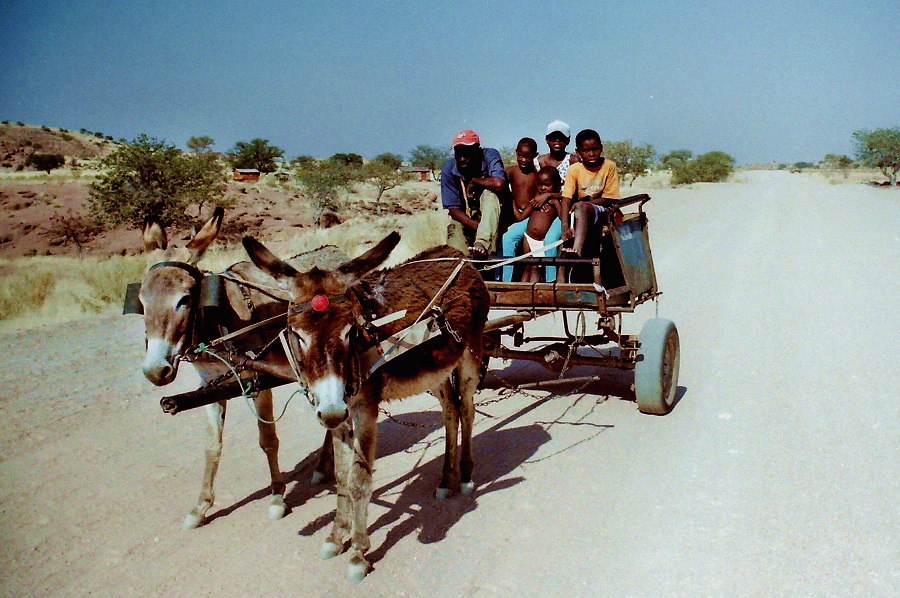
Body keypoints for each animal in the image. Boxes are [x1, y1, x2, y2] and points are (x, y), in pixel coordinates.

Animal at [138, 207, 333, 529]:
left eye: (185, 299)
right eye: (141, 301)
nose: (155, 371)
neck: (216, 320)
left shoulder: (258, 380)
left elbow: (268, 440)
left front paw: (277, 497)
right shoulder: (211, 385)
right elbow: (212, 445)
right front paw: (200, 507)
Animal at [242, 231, 491, 581]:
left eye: (350, 331)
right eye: (297, 334)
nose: (332, 409)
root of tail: (459, 255)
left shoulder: (365, 410)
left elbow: (359, 481)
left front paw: (358, 552)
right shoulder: (341, 414)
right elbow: (341, 477)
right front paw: (335, 537)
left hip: (471, 353)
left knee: (467, 408)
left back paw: (466, 476)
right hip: (435, 369)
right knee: (450, 412)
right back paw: (445, 480)